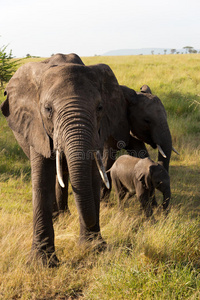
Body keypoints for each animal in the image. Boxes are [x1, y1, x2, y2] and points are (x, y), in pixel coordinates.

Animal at [0, 52, 130, 266]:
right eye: (48, 109)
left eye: (100, 107)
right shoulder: (37, 127)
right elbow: (41, 180)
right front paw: (42, 264)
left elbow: (92, 177)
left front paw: (94, 248)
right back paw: (57, 217)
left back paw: (63, 215)